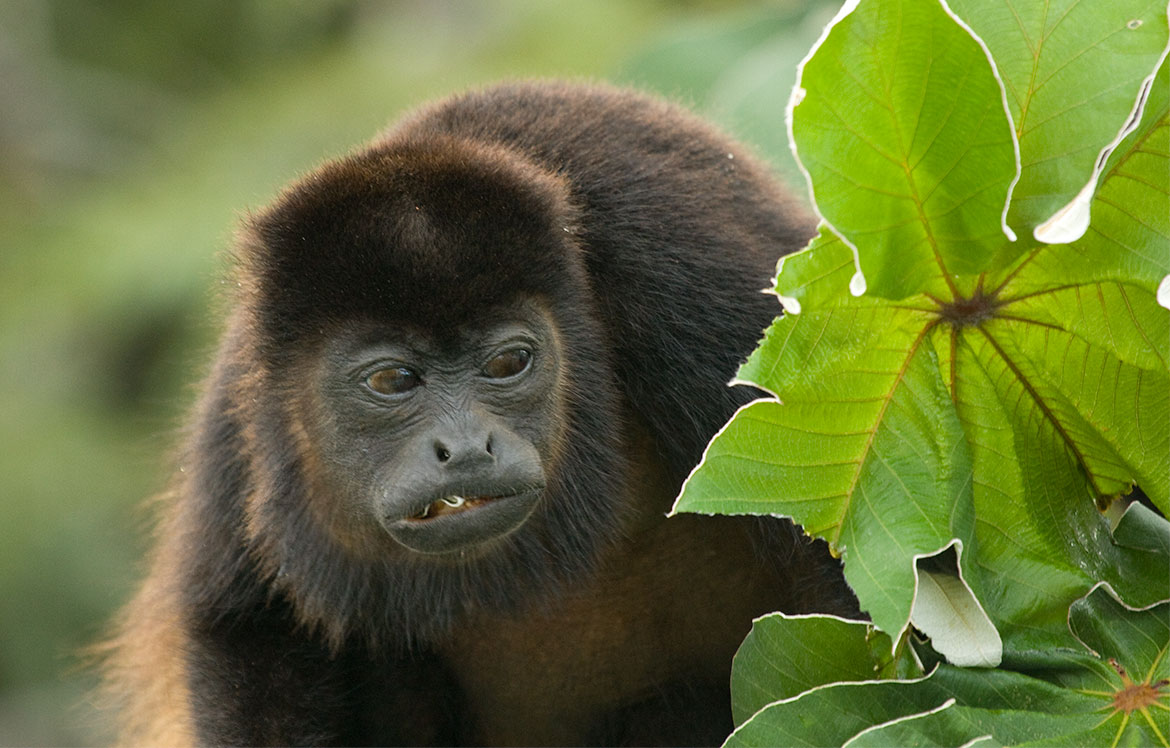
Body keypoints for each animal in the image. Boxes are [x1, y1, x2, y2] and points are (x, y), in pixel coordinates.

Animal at [98, 80, 858, 747]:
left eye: (507, 363)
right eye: (392, 379)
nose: (464, 446)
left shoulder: (693, 285)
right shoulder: (240, 414)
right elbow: (248, 625)